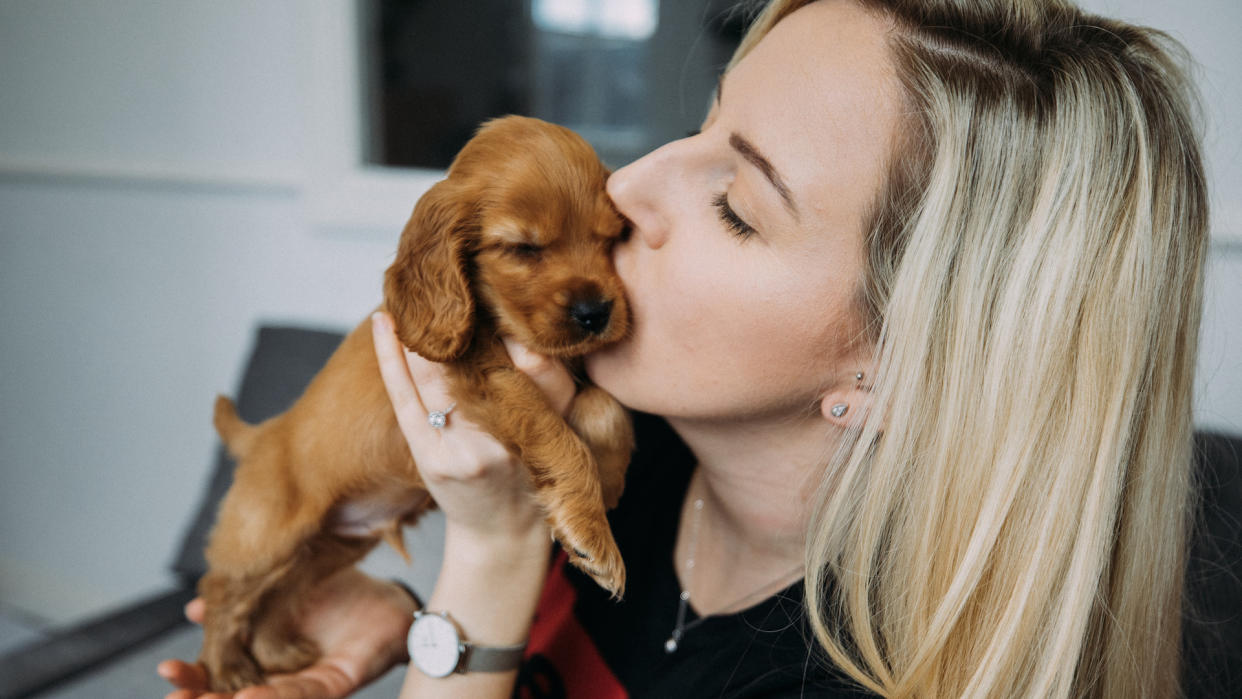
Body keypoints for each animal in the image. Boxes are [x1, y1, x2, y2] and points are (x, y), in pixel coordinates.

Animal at [201, 117, 640, 690]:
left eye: (610, 238)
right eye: (524, 249)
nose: (596, 313)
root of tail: (262, 433)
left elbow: (606, 407)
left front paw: (606, 481)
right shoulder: (480, 375)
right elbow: (553, 428)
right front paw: (592, 531)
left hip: (330, 547)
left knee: (283, 592)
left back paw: (277, 652)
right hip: (267, 534)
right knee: (221, 590)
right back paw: (227, 668)